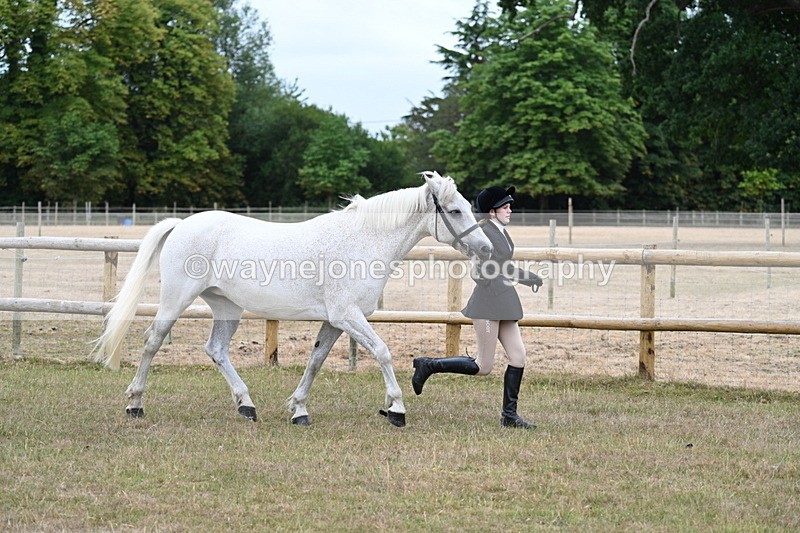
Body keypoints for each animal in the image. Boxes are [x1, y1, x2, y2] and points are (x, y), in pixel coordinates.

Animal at [93, 172, 492, 427]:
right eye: (455, 210)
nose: (487, 248)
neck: (363, 241)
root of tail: (181, 224)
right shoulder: (348, 316)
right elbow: (382, 352)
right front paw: (396, 409)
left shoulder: (334, 321)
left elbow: (315, 361)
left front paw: (299, 410)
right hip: (176, 300)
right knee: (151, 342)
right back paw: (135, 404)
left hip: (227, 306)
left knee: (216, 350)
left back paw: (247, 406)